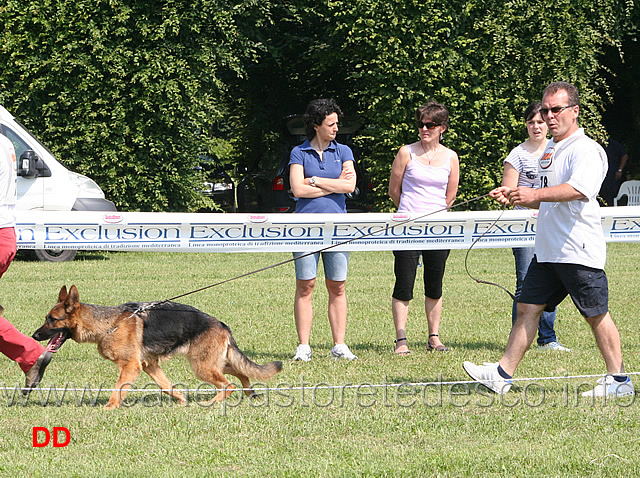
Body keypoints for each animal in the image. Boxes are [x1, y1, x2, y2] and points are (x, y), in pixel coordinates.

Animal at [32, 286, 282, 408]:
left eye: (52, 320)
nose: (34, 335)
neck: (108, 324)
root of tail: (221, 324)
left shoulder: (131, 366)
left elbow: (118, 388)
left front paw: (109, 408)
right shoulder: (149, 365)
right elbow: (166, 386)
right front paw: (181, 400)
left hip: (202, 366)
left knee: (228, 385)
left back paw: (211, 403)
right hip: (211, 362)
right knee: (241, 372)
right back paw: (249, 392)